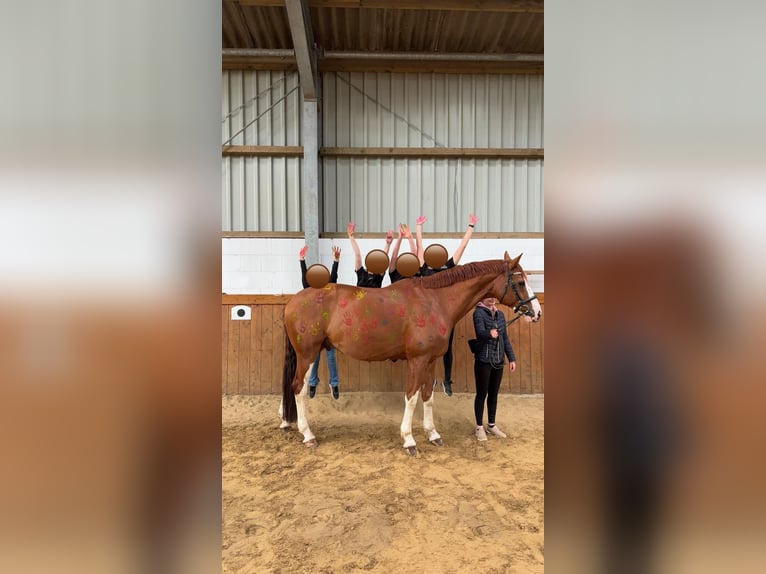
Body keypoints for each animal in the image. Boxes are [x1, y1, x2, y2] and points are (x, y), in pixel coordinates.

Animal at [279, 251, 542, 455]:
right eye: (520, 283)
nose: (537, 313)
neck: (435, 301)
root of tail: (294, 301)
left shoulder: (431, 360)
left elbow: (428, 396)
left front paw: (433, 434)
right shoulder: (417, 360)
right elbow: (412, 397)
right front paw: (409, 440)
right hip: (307, 354)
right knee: (298, 388)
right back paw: (308, 435)